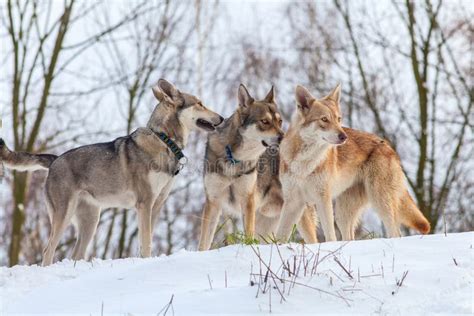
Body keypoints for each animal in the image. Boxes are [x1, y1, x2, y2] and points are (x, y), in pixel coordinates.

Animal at [0, 78, 223, 264]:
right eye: (200, 103)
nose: (221, 118)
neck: (164, 140)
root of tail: (55, 160)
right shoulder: (145, 203)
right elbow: (146, 242)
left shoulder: (157, 203)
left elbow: (147, 240)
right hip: (63, 217)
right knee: (48, 251)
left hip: (90, 222)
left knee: (75, 254)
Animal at [276, 84, 432, 242]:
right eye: (324, 119)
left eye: (338, 119)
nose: (344, 136)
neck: (304, 162)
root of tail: (389, 146)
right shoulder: (293, 202)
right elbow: (279, 236)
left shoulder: (323, 199)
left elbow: (330, 236)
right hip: (342, 214)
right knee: (350, 237)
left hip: (379, 202)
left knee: (395, 233)